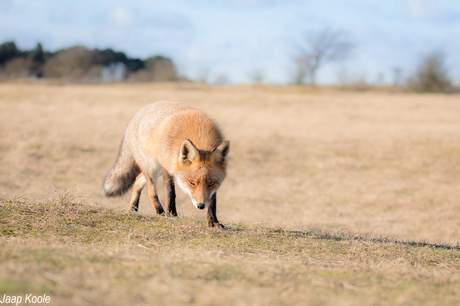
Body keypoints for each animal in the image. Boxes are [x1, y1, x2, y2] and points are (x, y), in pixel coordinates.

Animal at [101, 101, 229, 228]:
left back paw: (133, 209)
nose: (201, 206)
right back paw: (160, 212)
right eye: (191, 182)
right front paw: (171, 214)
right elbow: (170, 193)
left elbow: (212, 202)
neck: (198, 133)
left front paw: (213, 221)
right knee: (151, 191)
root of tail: (138, 113)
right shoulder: (167, 167)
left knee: (137, 180)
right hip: (152, 167)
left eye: (211, 184)